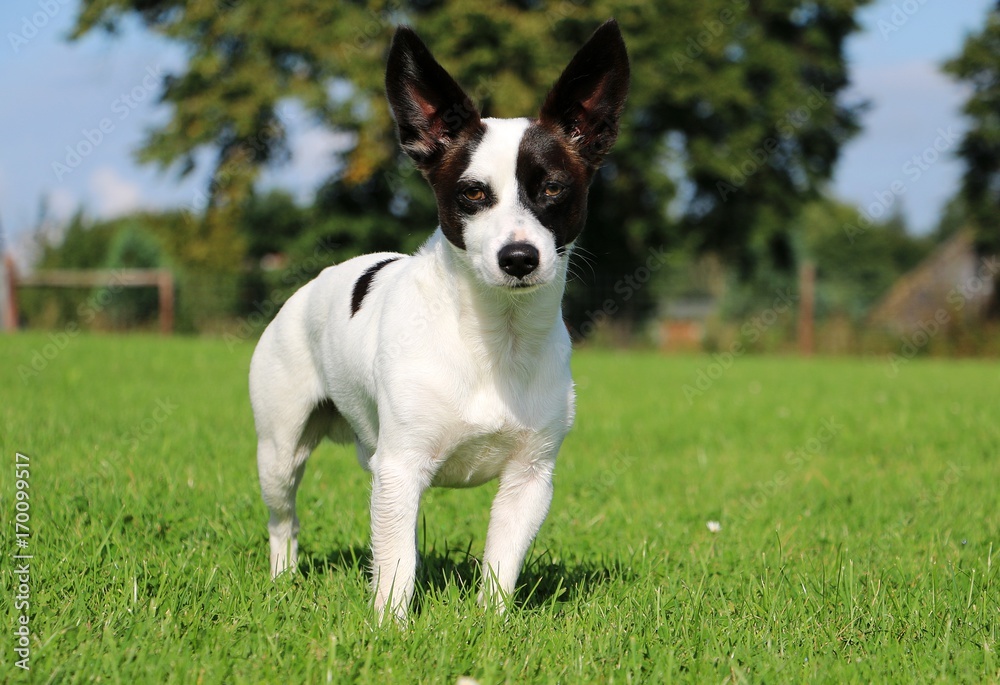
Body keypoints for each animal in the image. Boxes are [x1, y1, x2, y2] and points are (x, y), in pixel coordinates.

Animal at [248, 20, 624, 620]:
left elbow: (500, 567)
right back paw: (283, 581)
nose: (519, 257)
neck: (495, 340)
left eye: (553, 188)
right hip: (280, 452)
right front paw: (391, 628)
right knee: (284, 523)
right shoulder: (400, 469)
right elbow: (397, 565)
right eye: (472, 193)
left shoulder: (529, 480)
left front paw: (490, 625)